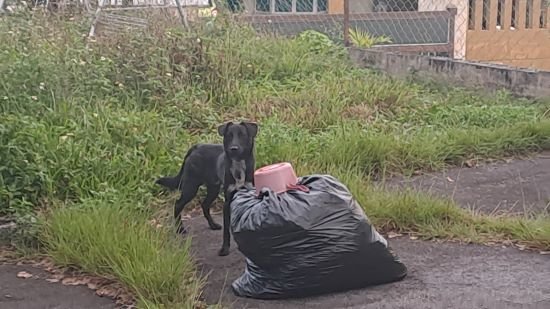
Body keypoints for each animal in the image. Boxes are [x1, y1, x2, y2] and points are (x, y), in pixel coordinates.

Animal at [155, 120, 258, 255]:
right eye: (229, 135)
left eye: (242, 135)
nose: (233, 149)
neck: (238, 165)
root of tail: (196, 147)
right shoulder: (227, 202)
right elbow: (226, 230)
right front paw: (225, 249)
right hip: (191, 187)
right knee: (178, 204)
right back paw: (180, 229)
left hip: (213, 188)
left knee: (204, 204)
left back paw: (213, 225)